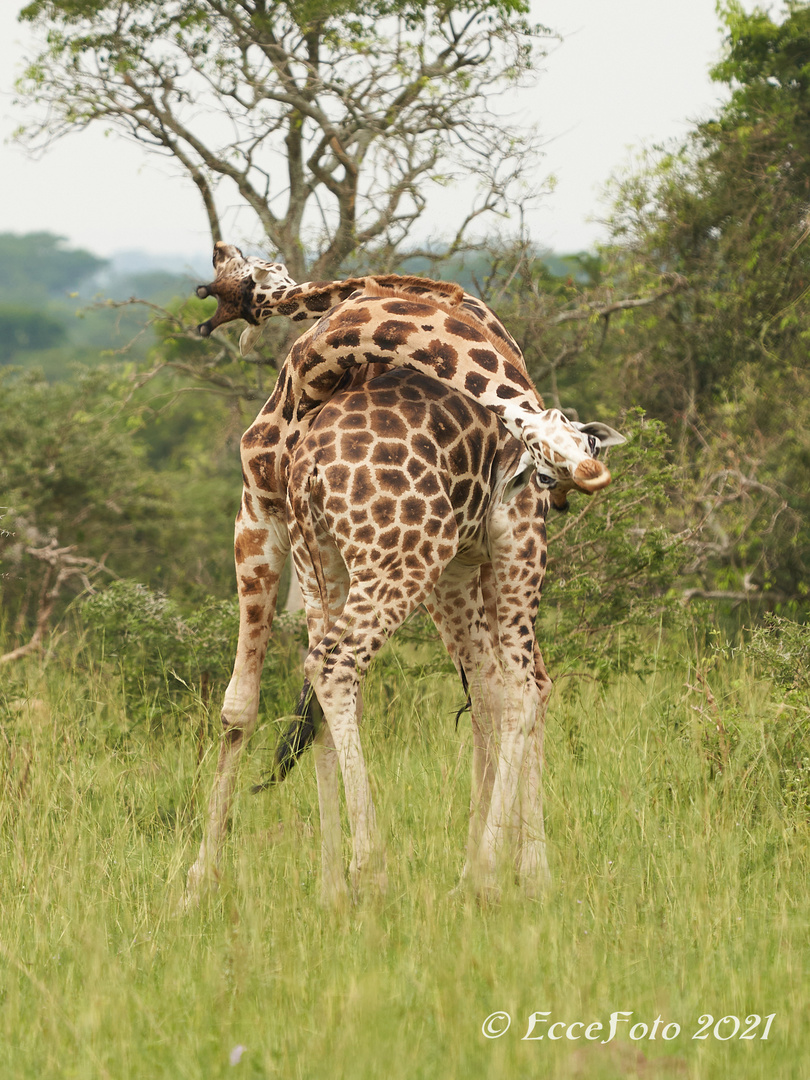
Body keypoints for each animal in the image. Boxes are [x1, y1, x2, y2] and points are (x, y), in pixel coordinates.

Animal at [185, 243, 626, 902]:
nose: (567, 482)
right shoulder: (279, 528)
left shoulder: (268, 526)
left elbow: (260, 701)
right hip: (427, 561)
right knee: (464, 682)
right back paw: (437, 870)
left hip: (418, 561)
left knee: (492, 684)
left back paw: (477, 871)